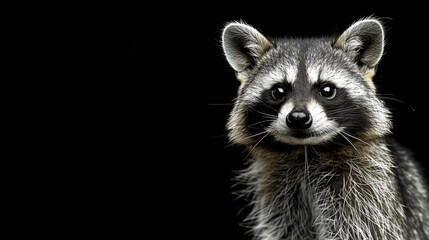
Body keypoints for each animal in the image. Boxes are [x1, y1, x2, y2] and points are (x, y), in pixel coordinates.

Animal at [221, 17, 428, 239]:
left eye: (327, 90)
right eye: (278, 91)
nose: (298, 118)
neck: (306, 151)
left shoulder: (369, 193)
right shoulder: (279, 198)